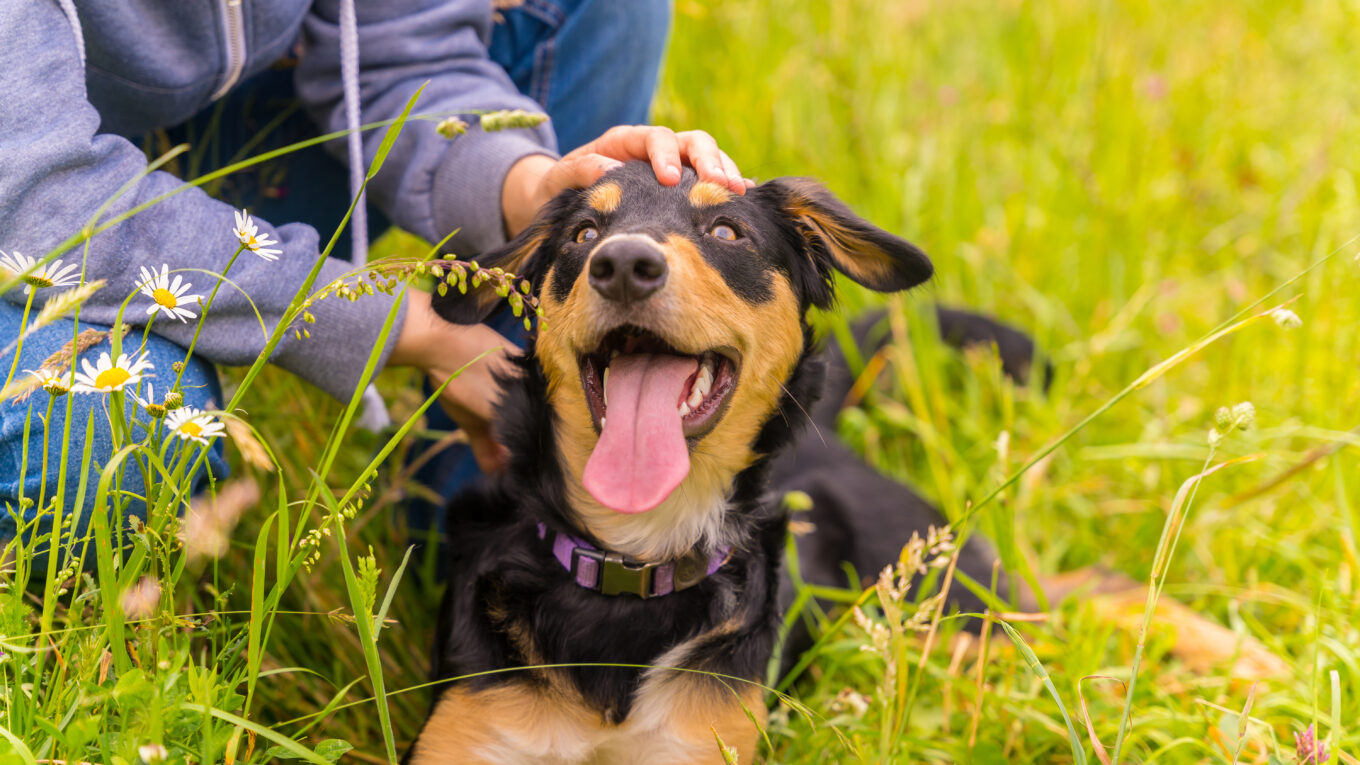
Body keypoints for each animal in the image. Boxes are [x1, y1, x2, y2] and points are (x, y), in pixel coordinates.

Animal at [413, 164, 1039, 756]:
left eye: (726, 232)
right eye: (584, 234)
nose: (622, 264)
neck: (636, 556)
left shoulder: (700, 739)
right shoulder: (477, 730)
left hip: (955, 604)